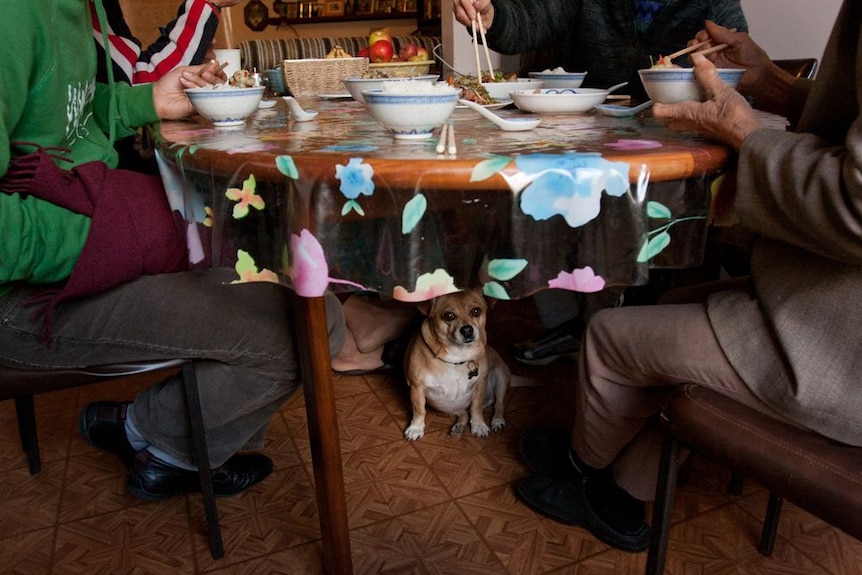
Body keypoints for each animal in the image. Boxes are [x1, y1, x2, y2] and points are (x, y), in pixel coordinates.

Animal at [404, 288, 512, 440]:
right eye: (449, 315)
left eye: (476, 311)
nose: (467, 330)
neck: (457, 358)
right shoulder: (416, 388)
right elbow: (419, 410)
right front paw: (416, 428)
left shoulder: (480, 385)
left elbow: (476, 407)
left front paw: (479, 425)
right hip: (453, 405)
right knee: (464, 414)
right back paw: (459, 427)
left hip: (500, 377)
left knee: (499, 404)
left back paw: (497, 420)